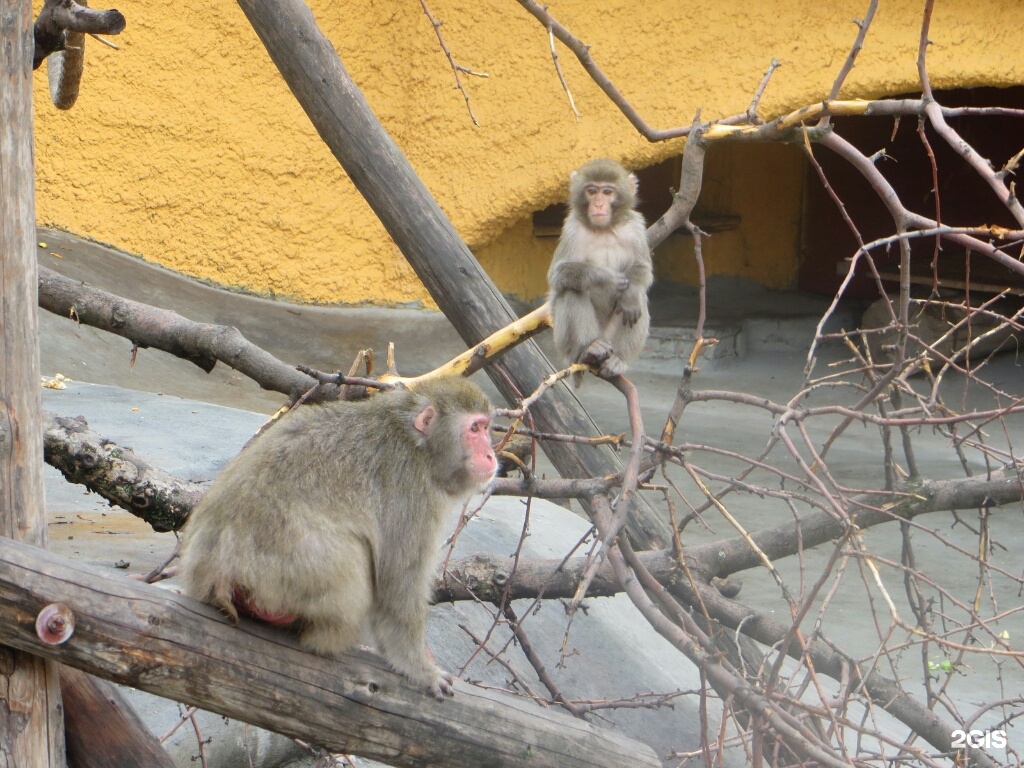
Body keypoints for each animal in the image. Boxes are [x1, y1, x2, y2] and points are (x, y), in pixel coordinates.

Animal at [180, 378, 499, 704]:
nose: (491, 455)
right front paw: (420, 669)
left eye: (486, 428)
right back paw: (325, 641)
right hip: (288, 575)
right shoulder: (413, 493)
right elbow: (396, 588)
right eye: (474, 429)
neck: (418, 443)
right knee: (352, 565)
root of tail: (212, 572)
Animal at [548, 157, 651, 385]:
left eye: (607, 192)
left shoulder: (636, 226)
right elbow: (558, 274)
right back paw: (587, 349)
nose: (598, 205)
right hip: (564, 342)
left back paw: (619, 359)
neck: (605, 229)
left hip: (610, 337)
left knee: (639, 301)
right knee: (572, 290)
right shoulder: (571, 228)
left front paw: (631, 293)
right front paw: (605, 278)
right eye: (592, 191)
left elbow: (643, 269)